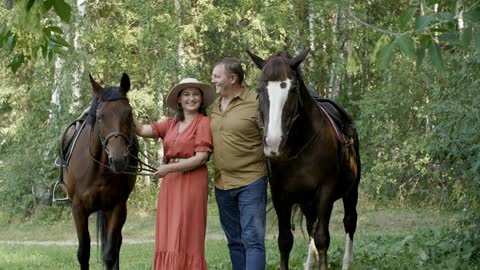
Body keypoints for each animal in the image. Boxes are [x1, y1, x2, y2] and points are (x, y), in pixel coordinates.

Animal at [62, 74, 138, 270]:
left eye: (129, 113)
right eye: (100, 116)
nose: (118, 160)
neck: (98, 170)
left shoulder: (118, 207)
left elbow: (109, 253)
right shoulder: (78, 208)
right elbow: (83, 253)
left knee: (117, 244)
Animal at [248, 49, 360, 270]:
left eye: (292, 89)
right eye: (260, 89)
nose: (273, 142)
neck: (299, 147)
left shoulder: (325, 192)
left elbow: (322, 239)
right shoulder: (280, 195)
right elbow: (285, 241)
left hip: (351, 192)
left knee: (349, 222)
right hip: (308, 203)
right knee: (311, 227)